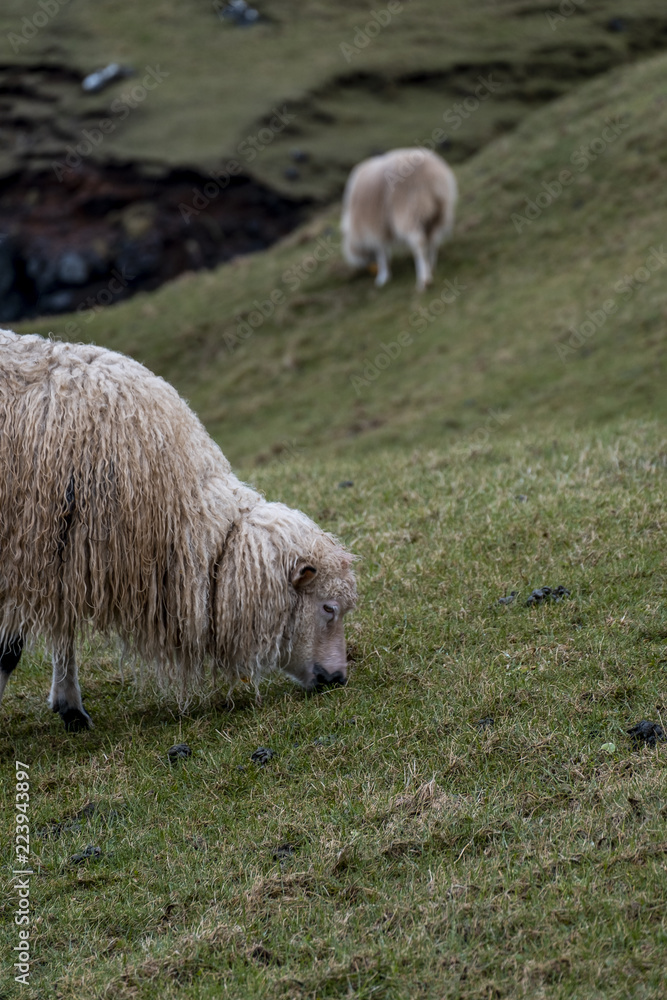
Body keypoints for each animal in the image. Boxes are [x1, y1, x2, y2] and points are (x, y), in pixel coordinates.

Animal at [0, 329, 357, 731]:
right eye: (328, 608)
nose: (338, 679)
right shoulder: (23, 551)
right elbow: (9, 649)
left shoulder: (62, 556)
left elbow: (63, 631)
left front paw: (70, 706)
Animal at [341, 147, 458, 291]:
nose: (362, 266)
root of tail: (431, 174)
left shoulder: (375, 225)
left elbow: (381, 251)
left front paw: (382, 277)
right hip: (439, 210)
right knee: (434, 239)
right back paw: (431, 266)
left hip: (409, 211)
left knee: (419, 242)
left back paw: (424, 280)